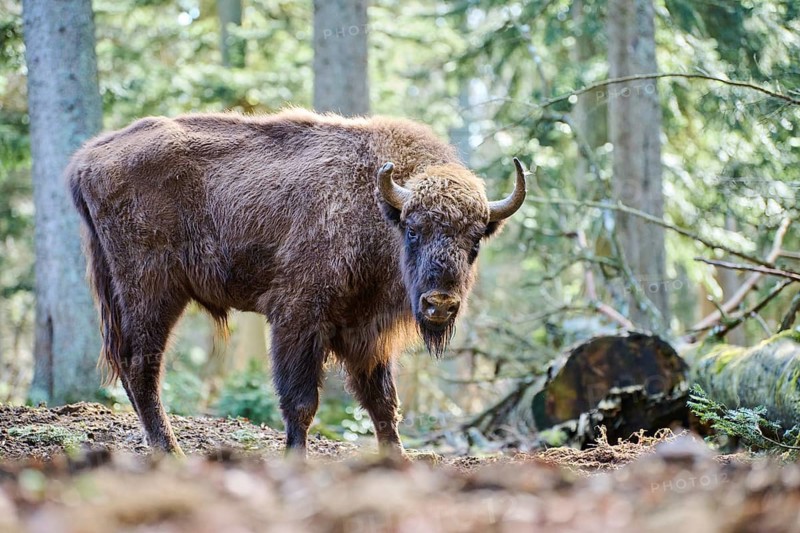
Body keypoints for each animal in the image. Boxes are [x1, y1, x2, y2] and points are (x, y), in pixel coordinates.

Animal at [69, 109, 526, 456]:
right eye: (414, 230)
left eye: (475, 240)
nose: (439, 304)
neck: (378, 208)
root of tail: (88, 159)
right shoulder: (299, 320)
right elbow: (302, 401)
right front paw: (295, 456)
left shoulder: (366, 334)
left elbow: (382, 402)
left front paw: (396, 458)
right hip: (152, 291)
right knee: (141, 364)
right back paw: (172, 451)